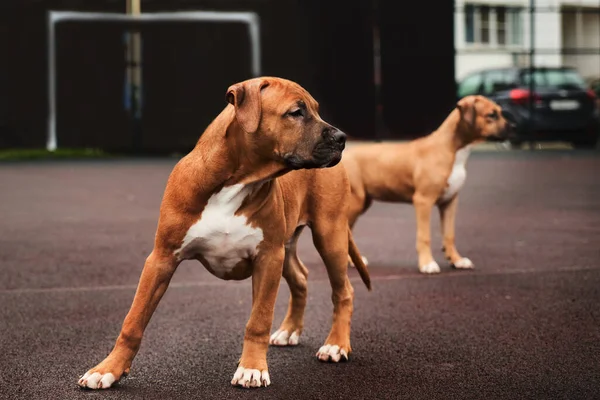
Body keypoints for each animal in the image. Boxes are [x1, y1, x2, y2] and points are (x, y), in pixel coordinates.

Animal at [78, 76, 370, 390]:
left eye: (316, 110)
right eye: (296, 112)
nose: (342, 138)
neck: (235, 181)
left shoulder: (267, 258)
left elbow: (258, 319)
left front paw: (252, 368)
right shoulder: (161, 258)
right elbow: (133, 320)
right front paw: (108, 369)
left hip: (329, 235)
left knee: (343, 291)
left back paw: (336, 345)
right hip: (288, 246)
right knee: (301, 278)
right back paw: (290, 330)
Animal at [342, 95, 510, 274]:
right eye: (492, 115)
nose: (513, 127)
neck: (452, 149)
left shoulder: (450, 202)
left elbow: (449, 235)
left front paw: (457, 260)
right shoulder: (424, 201)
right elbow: (425, 236)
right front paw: (427, 263)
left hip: (362, 202)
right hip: (355, 202)